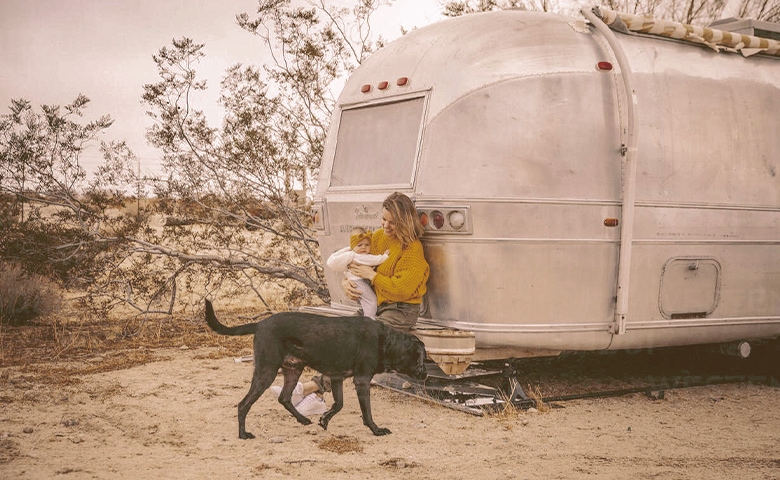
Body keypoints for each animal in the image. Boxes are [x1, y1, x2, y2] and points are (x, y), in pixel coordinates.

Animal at [204, 302, 430, 440]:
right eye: (422, 359)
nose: (426, 374)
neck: (386, 341)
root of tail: (259, 324)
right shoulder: (361, 380)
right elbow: (367, 412)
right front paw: (376, 430)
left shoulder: (337, 377)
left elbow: (339, 404)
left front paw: (324, 419)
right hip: (266, 371)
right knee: (243, 404)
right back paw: (243, 434)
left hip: (293, 369)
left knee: (284, 398)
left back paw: (303, 419)